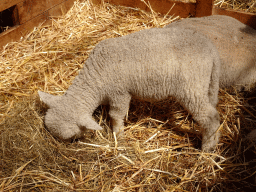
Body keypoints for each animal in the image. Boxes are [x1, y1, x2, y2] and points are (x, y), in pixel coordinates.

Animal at [39, 25, 221, 152]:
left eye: (71, 137)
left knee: (211, 118)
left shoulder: (120, 93)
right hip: (207, 83)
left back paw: (206, 149)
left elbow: (116, 115)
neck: (95, 79)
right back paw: (213, 140)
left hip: (191, 87)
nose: (61, 148)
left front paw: (118, 135)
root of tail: (211, 50)